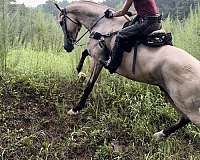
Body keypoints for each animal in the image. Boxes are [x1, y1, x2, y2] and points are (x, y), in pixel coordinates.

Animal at [54, 0, 200, 139]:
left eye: (61, 22)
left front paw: (76, 108)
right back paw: (160, 134)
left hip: (187, 106)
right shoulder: (95, 55)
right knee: (184, 118)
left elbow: (89, 85)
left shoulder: (97, 58)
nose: (67, 47)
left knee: (189, 119)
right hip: (169, 94)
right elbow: (84, 53)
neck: (104, 24)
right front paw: (80, 74)